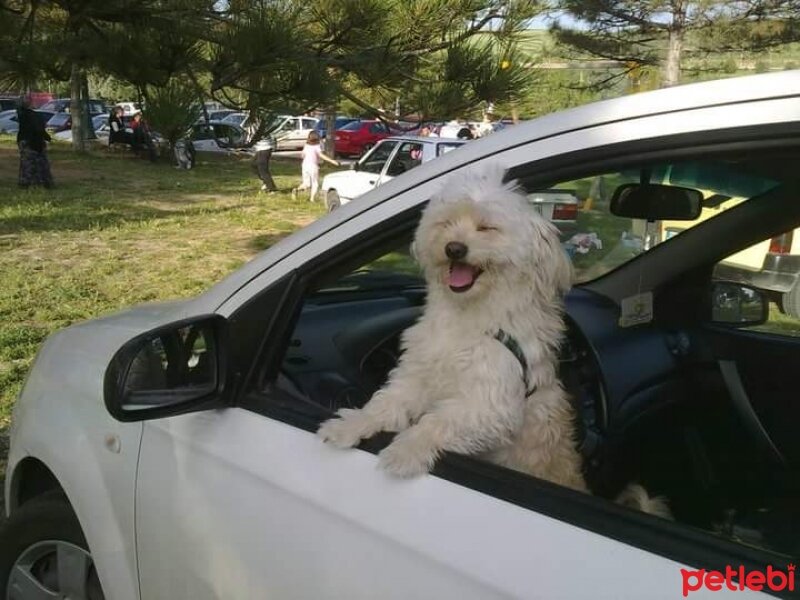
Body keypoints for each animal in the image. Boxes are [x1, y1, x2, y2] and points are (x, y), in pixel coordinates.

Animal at [318, 165, 668, 516]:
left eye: (487, 227)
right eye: (446, 223)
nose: (454, 248)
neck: (470, 317)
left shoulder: (490, 403)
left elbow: (438, 421)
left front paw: (406, 450)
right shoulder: (416, 375)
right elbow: (384, 403)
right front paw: (349, 424)